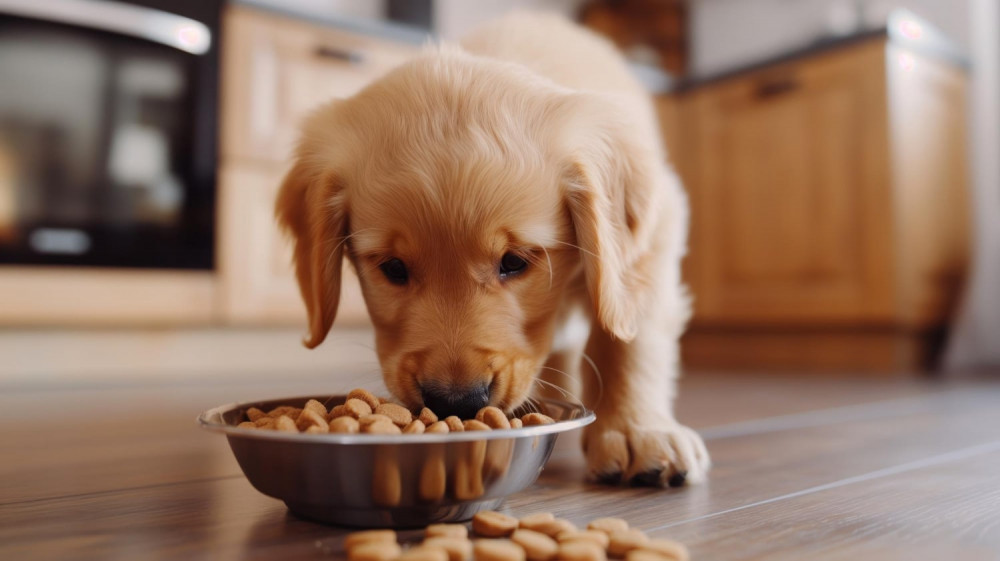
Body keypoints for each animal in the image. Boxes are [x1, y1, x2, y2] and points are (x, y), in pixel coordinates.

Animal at [278, 13, 708, 486]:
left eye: (514, 262)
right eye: (393, 268)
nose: (457, 402)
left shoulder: (655, 233)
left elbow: (628, 334)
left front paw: (638, 431)